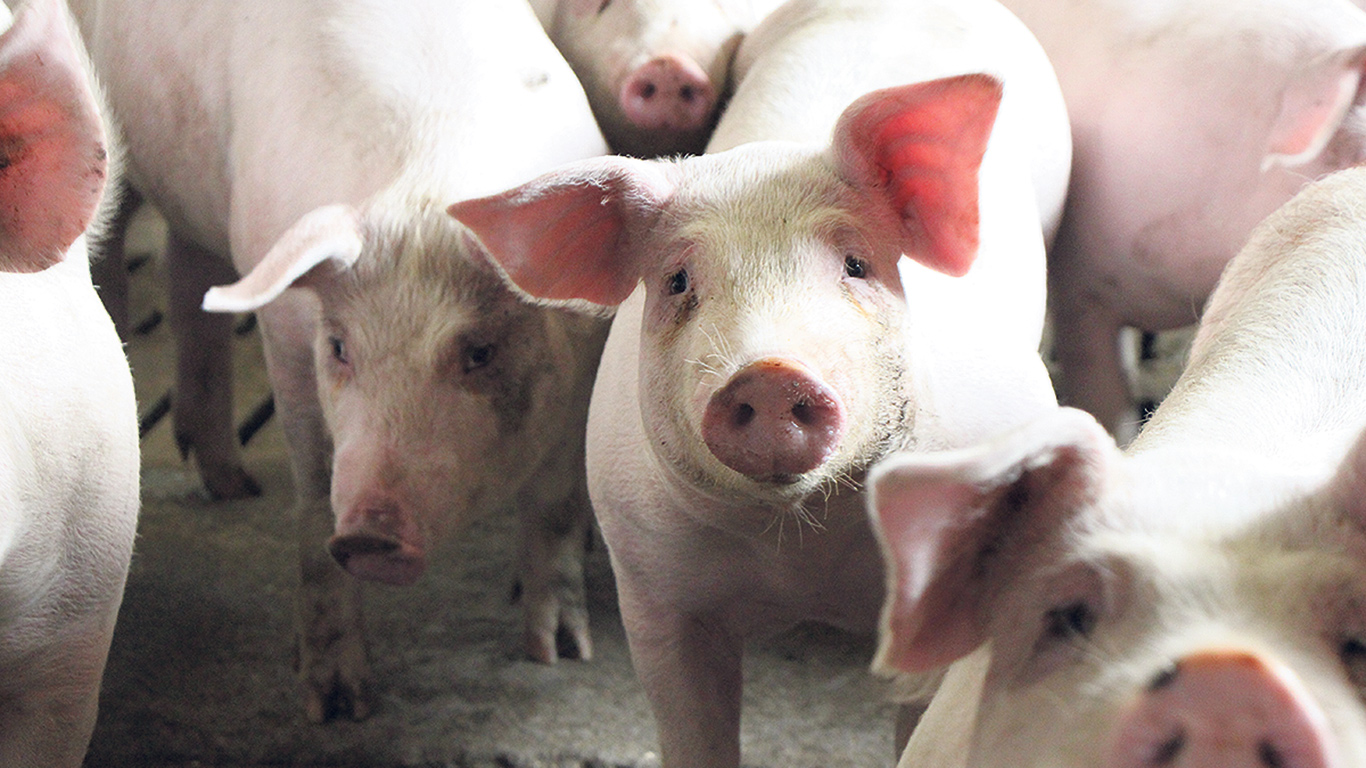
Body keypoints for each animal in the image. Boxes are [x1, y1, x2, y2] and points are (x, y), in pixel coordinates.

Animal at [69, 0, 611, 721]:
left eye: (479, 351)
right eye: (339, 347)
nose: (369, 537)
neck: (427, 191)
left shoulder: (585, 353)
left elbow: (556, 501)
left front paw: (560, 653)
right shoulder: (285, 339)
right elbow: (314, 496)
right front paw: (335, 705)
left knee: (190, 277)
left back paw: (232, 484)